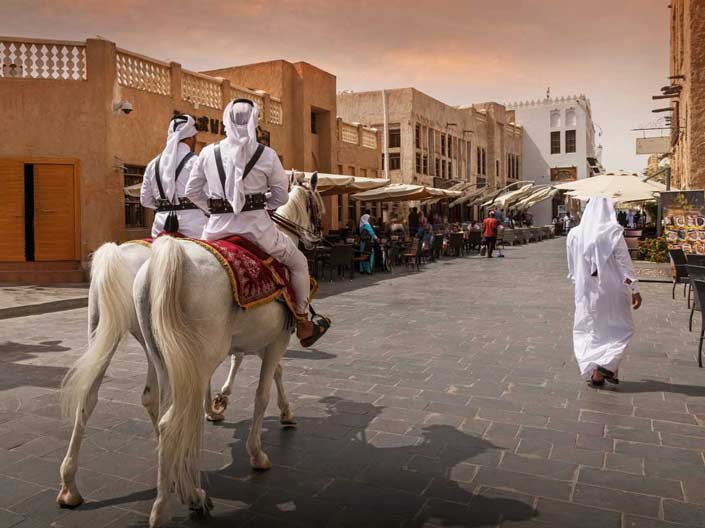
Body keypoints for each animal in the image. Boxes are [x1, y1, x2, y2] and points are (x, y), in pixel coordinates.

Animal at [56, 174, 320, 512]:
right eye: (316, 205)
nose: (316, 237)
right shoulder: (272, 337)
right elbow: (267, 379)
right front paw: (268, 424)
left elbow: (240, 368)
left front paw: (219, 404)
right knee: (172, 403)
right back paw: (186, 483)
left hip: (116, 338)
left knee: (101, 399)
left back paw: (73, 486)